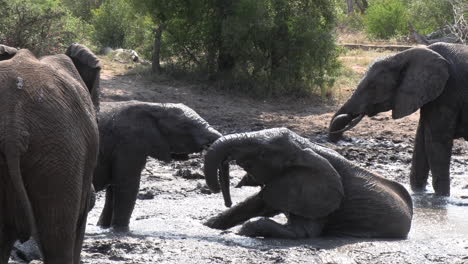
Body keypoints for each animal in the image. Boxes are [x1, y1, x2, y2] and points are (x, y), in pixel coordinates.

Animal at [93, 101, 223, 231]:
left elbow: (113, 189)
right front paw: (121, 231)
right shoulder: (129, 143)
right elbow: (127, 185)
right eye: (185, 126)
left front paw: (104, 228)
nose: (218, 189)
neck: (155, 107)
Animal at [203, 128, 412, 239]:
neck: (306, 147)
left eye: (262, 154)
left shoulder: (322, 199)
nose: (225, 199)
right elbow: (256, 204)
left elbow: (303, 233)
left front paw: (238, 233)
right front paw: (207, 225)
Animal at [328, 42, 468, 196]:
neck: (404, 55)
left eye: (372, 86)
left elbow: (436, 141)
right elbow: (421, 139)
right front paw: (418, 194)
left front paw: (442, 199)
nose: (335, 139)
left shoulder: (448, 93)